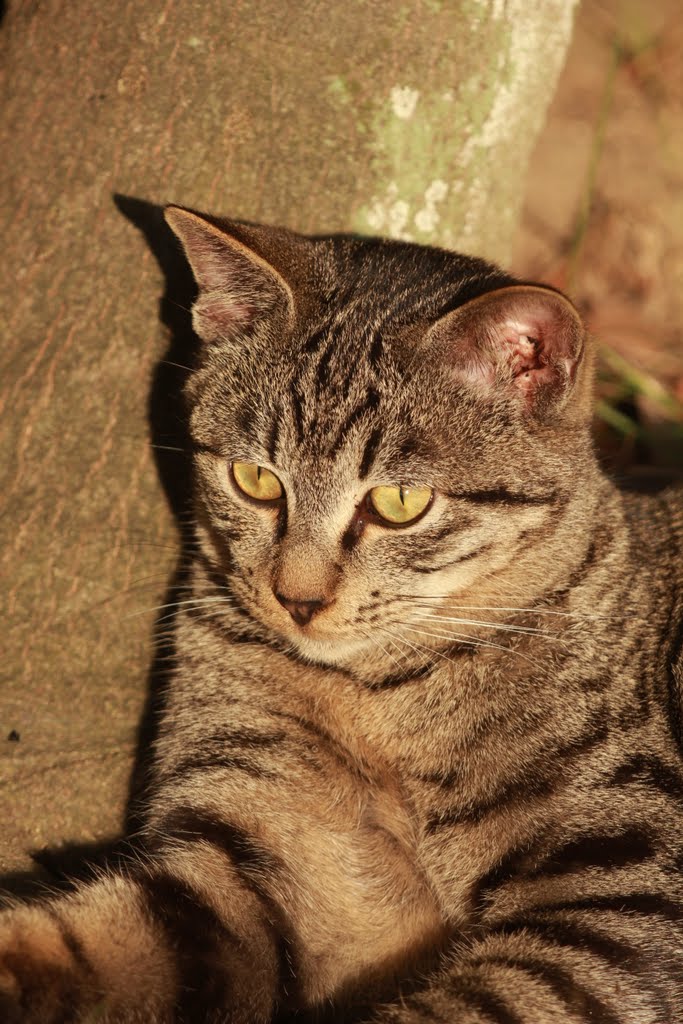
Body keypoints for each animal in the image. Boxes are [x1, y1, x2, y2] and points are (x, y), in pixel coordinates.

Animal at [1, 201, 683, 1024]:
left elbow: (475, 1005)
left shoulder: (619, 894)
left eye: (399, 501)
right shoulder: (265, 859)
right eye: (256, 480)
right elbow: (91, 942)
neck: (375, 697)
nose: (298, 599)